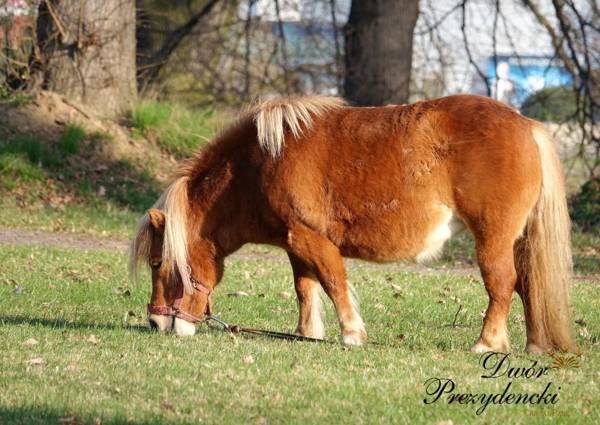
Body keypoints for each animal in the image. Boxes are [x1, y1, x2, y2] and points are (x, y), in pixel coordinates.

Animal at [130, 94, 572, 352]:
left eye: (157, 263)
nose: (155, 322)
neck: (260, 164)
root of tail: (527, 126)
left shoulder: (312, 240)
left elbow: (333, 283)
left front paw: (352, 334)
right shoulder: (296, 244)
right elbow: (305, 289)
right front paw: (307, 334)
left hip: (491, 238)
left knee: (503, 284)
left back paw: (487, 344)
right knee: (528, 284)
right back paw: (533, 346)